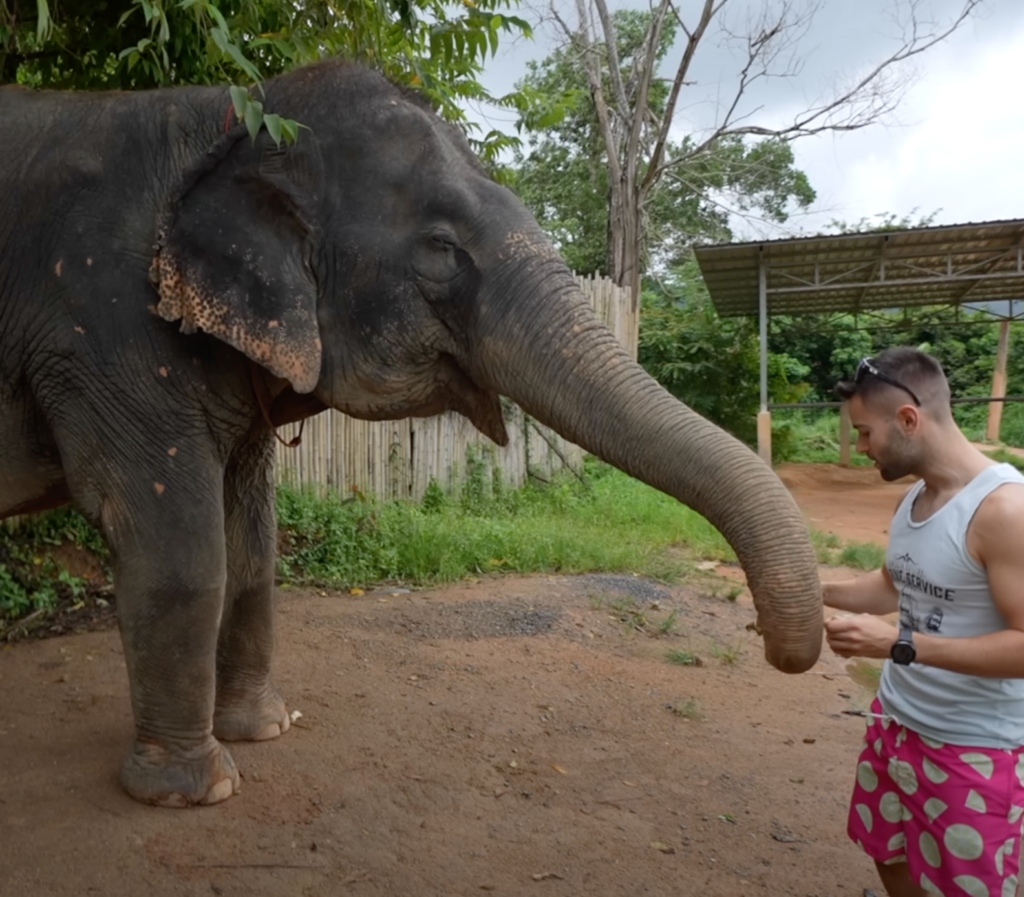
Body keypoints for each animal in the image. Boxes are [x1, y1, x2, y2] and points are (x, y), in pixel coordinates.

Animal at [0, 59, 819, 810]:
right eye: (440, 248)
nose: (775, 649)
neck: (232, 116)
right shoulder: (101, 324)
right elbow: (176, 545)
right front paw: (195, 790)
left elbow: (252, 544)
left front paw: (264, 730)